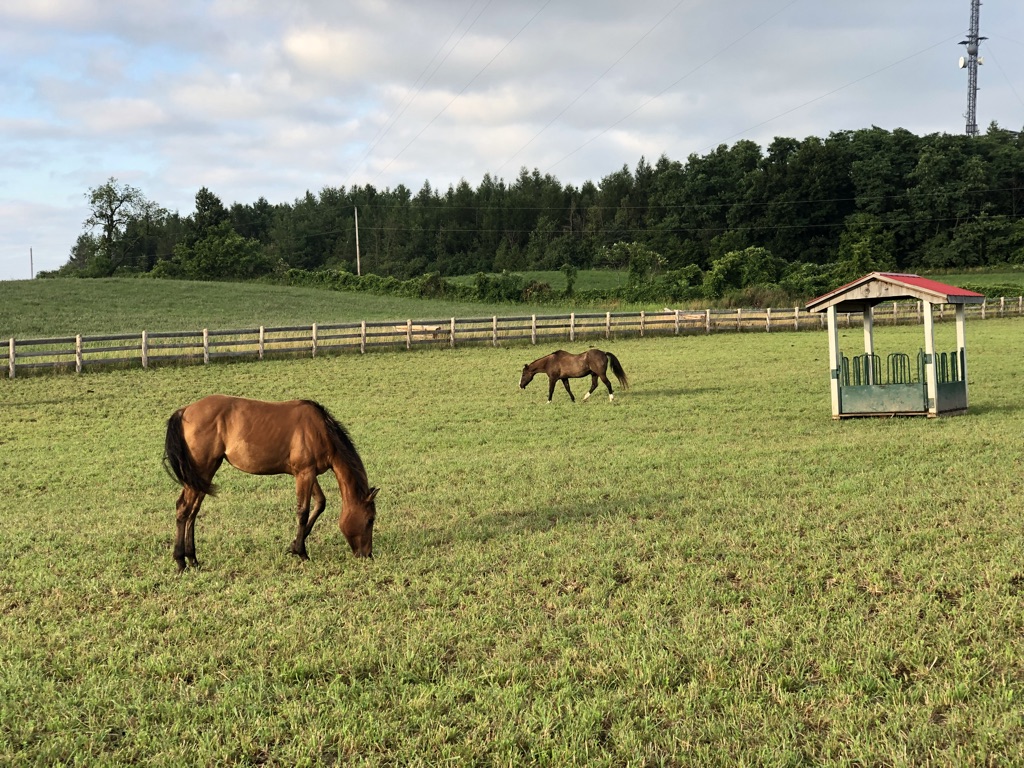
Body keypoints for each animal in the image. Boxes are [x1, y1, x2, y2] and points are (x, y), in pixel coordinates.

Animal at [163, 395, 379, 572]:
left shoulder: (307, 473)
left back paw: (193, 559)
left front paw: (294, 545)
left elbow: (320, 504)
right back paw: (181, 562)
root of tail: (185, 411)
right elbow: (303, 512)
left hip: (204, 475)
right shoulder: (304, 474)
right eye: (370, 519)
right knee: (183, 509)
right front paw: (302, 552)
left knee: (193, 512)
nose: (367, 555)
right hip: (202, 471)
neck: (319, 430)